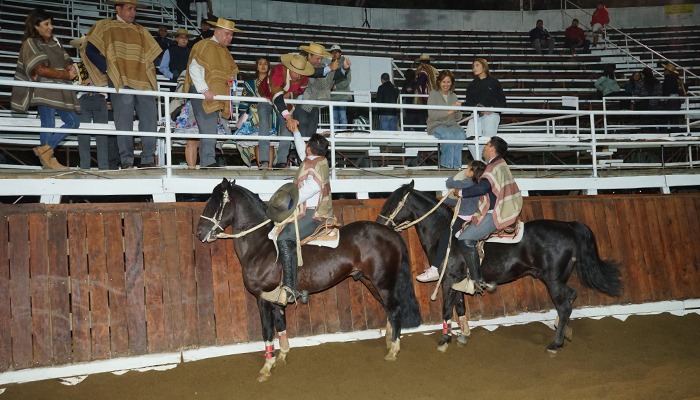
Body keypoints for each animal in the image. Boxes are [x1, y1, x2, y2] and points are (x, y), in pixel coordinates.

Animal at [197, 178, 422, 382]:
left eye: (214, 203)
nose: (199, 232)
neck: (262, 245)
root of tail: (390, 232)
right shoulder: (277, 299)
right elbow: (281, 324)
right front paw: (283, 355)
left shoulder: (263, 298)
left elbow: (267, 330)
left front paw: (267, 366)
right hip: (371, 281)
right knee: (389, 309)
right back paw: (389, 341)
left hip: (383, 282)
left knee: (395, 309)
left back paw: (393, 350)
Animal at [380, 181, 620, 354]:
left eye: (392, 203)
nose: (380, 223)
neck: (443, 233)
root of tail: (568, 226)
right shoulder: (459, 281)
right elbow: (460, 307)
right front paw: (463, 335)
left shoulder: (449, 278)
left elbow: (447, 308)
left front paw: (444, 339)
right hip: (557, 279)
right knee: (570, 298)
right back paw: (562, 330)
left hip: (552, 280)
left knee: (564, 305)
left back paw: (555, 343)